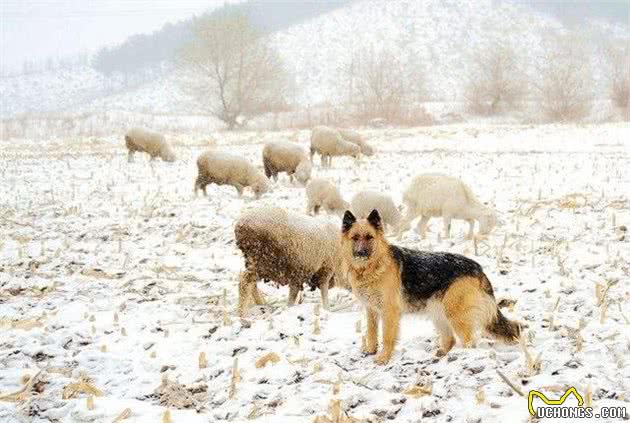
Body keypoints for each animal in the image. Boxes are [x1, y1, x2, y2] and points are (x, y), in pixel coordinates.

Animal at [344, 209, 520, 364]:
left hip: (455, 315)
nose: (361, 253)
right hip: (439, 314)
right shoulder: (371, 310)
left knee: (468, 342)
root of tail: (478, 267)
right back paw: (441, 355)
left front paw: (383, 358)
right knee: (450, 339)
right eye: (355, 238)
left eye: (369, 237)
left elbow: (387, 337)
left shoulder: (389, 312)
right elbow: (371, 332)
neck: (373, 267)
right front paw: (370, 351)